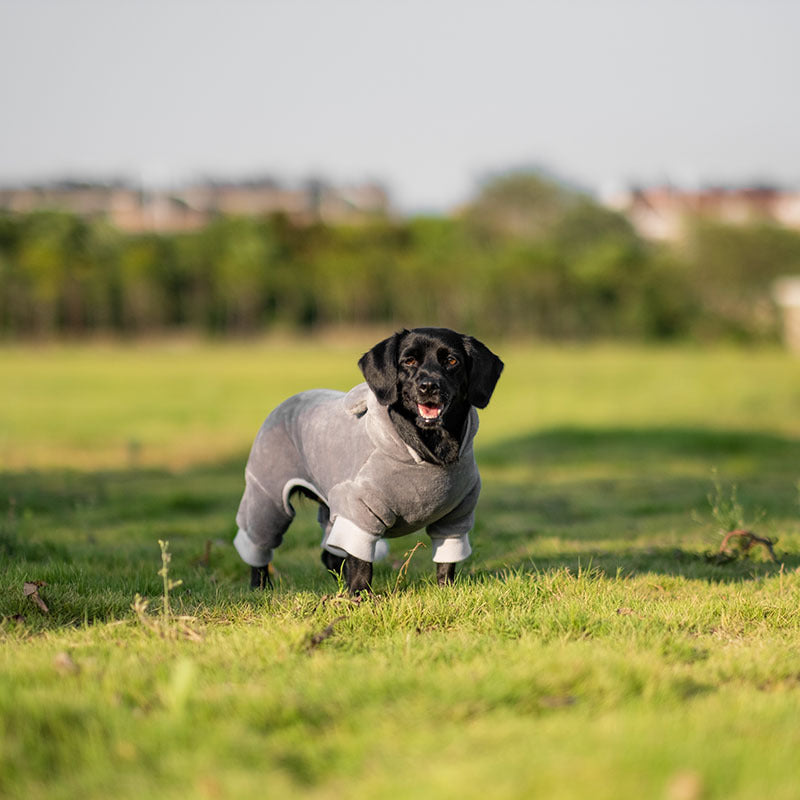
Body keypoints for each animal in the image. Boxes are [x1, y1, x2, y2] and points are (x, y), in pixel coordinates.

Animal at [233, 326, 500, 592]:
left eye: (452, 361)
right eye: (409, 361)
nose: (428, 386)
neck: (430, 451)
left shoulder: (456, 517)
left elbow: (446, 561)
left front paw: (446, 590)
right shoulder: (360, 513)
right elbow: (362, 563)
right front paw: (360, 595)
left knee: (330, 554)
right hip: (269, 501)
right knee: (258, 548)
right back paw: (260, 586)